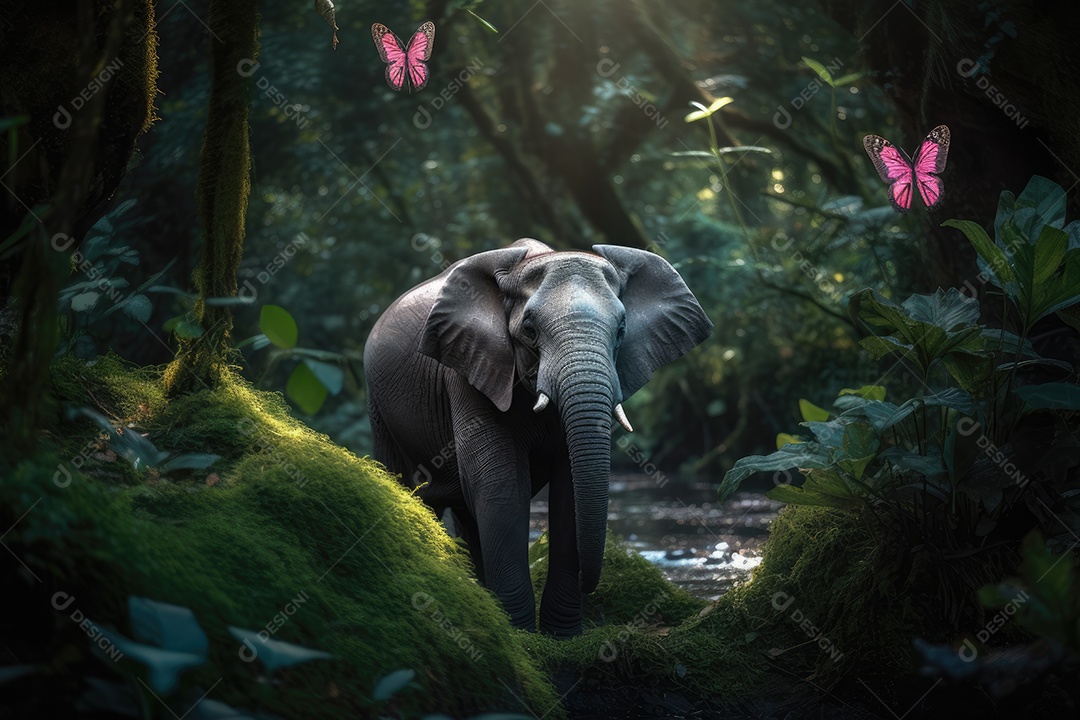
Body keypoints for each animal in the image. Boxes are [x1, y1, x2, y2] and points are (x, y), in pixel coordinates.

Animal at [364, 238, 712, 635]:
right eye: (529, 330)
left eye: (622, 329)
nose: (589, 585)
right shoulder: (470, 370)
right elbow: (500, 487)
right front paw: (520, 634)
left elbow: (569, 490)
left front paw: (561, 635)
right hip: (379, 407)